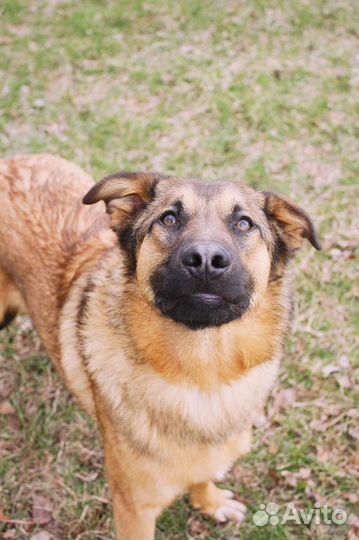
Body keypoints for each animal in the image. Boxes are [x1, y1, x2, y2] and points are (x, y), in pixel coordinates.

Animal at [0, 154, 320, 536]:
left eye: (244, 223)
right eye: (169, 218)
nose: (206, 260)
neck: (202, 375)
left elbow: (203, 475)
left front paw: (210, 502)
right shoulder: (134, 509)